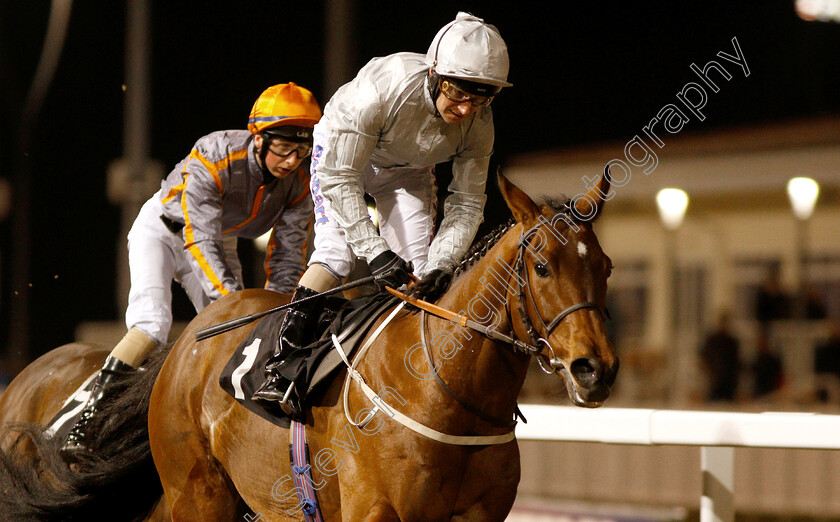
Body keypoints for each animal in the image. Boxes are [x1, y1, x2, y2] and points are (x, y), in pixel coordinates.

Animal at [146, 171, 616, 516]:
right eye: (541, 267)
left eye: (606, 266)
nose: (595, 369)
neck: (445, 391)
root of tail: (189, 338)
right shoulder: (375, 508)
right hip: (197, 493)